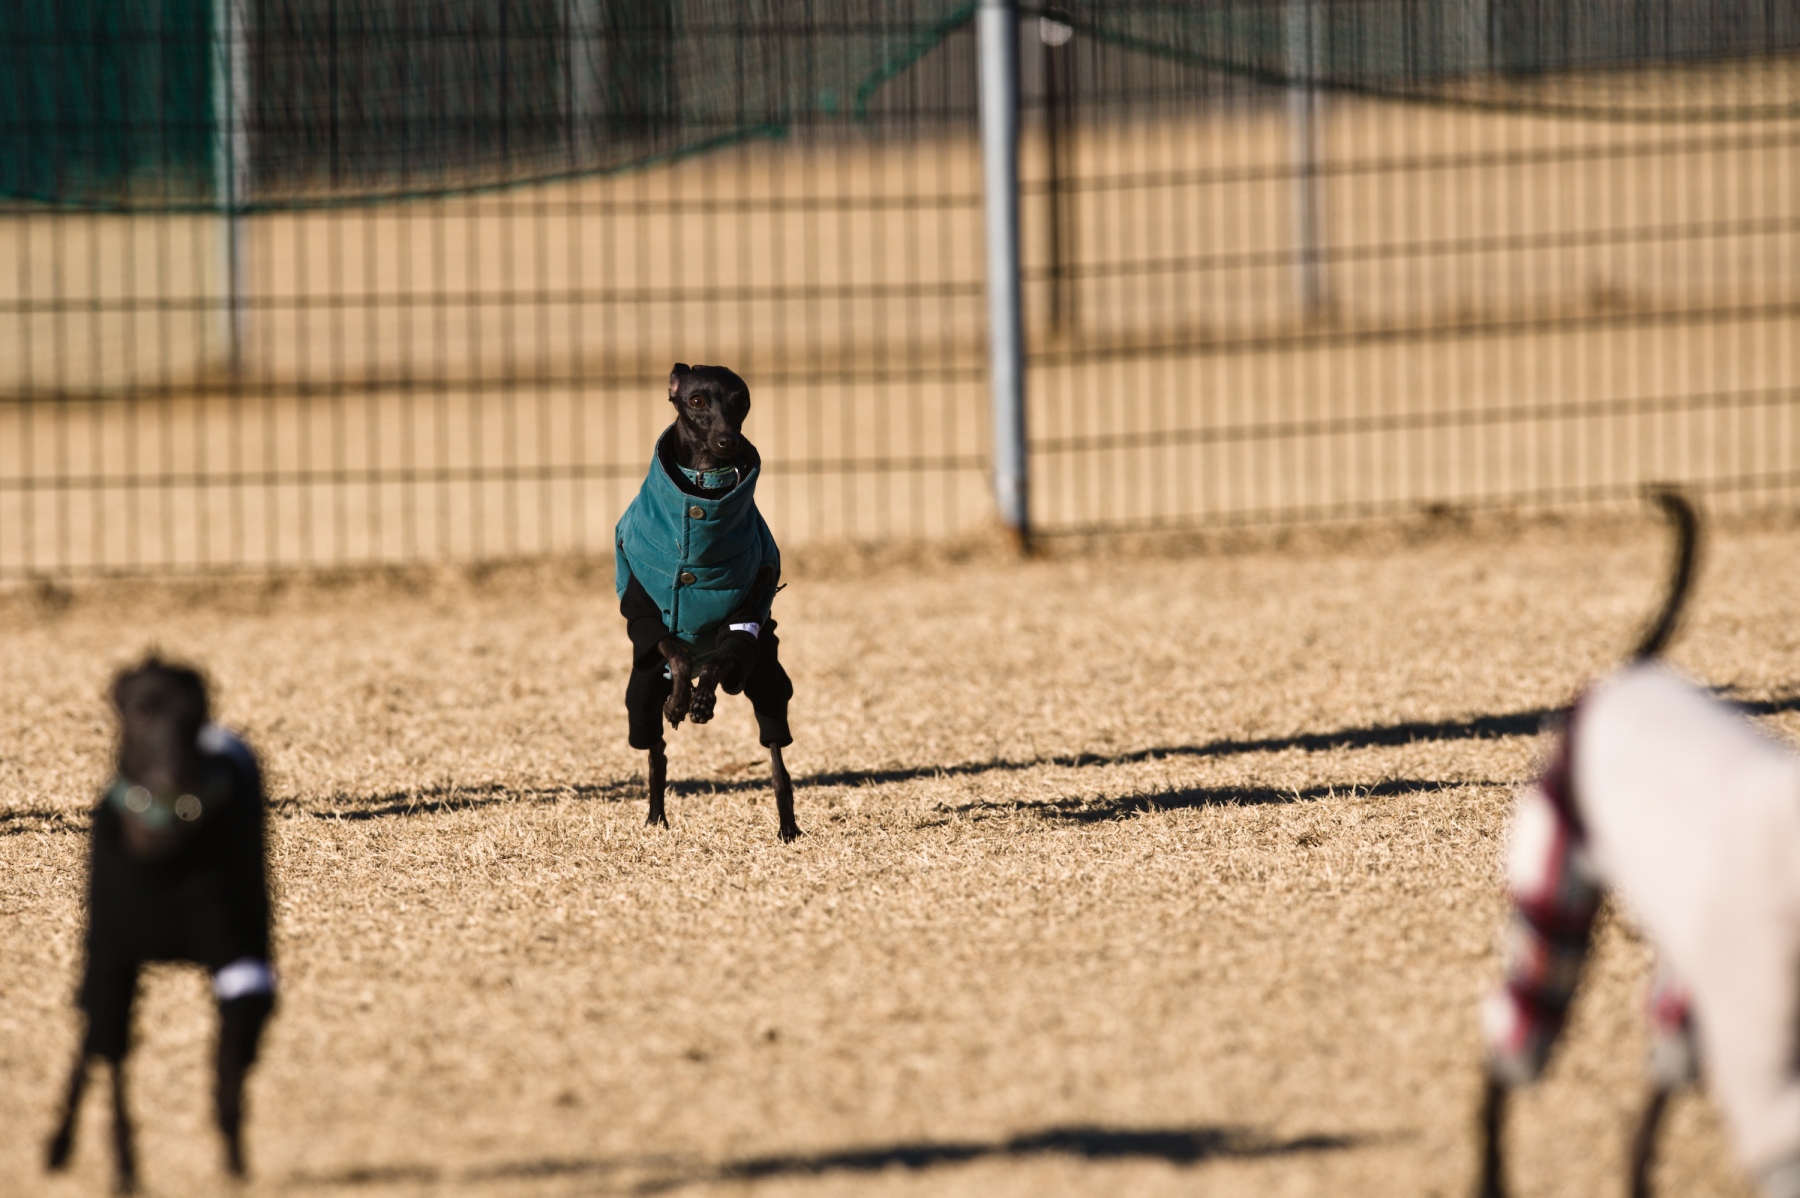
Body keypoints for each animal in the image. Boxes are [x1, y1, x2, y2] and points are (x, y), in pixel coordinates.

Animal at [46, 657, 276, 1192]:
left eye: (198, 706)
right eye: (138, 708)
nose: (178, 773)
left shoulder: (237, 960)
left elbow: (227, 1063)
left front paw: (232, 1157)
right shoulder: (111, 965)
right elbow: (111, 1068)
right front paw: (124, 1170)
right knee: (91, 1049)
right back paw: (62, 1147)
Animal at [615, 363, 801, 841]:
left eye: (741, 401)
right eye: (696, 400)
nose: (726, 441)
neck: (703, 495)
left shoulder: (745, 620)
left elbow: (720, 658)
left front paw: (701, 701)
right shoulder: (644, 616)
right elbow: (676, 651)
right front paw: (681, 701)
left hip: (766, 675)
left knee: (777, 755)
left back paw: (789, 825)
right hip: (642, 690)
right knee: (655, 751)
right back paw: (656, 814)